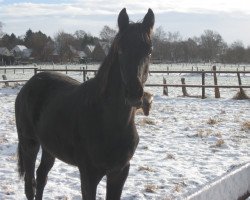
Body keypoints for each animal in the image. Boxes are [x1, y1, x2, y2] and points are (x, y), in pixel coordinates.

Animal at [15, 8, 154, 200]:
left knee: (41, 176)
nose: (134, 93)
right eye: (120, 49)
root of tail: (27, 86)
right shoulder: (89, 174)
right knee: (30, 184)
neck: (108, 121)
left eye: (149, 50)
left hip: (49, 148)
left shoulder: (119, 172)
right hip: (29, 144)